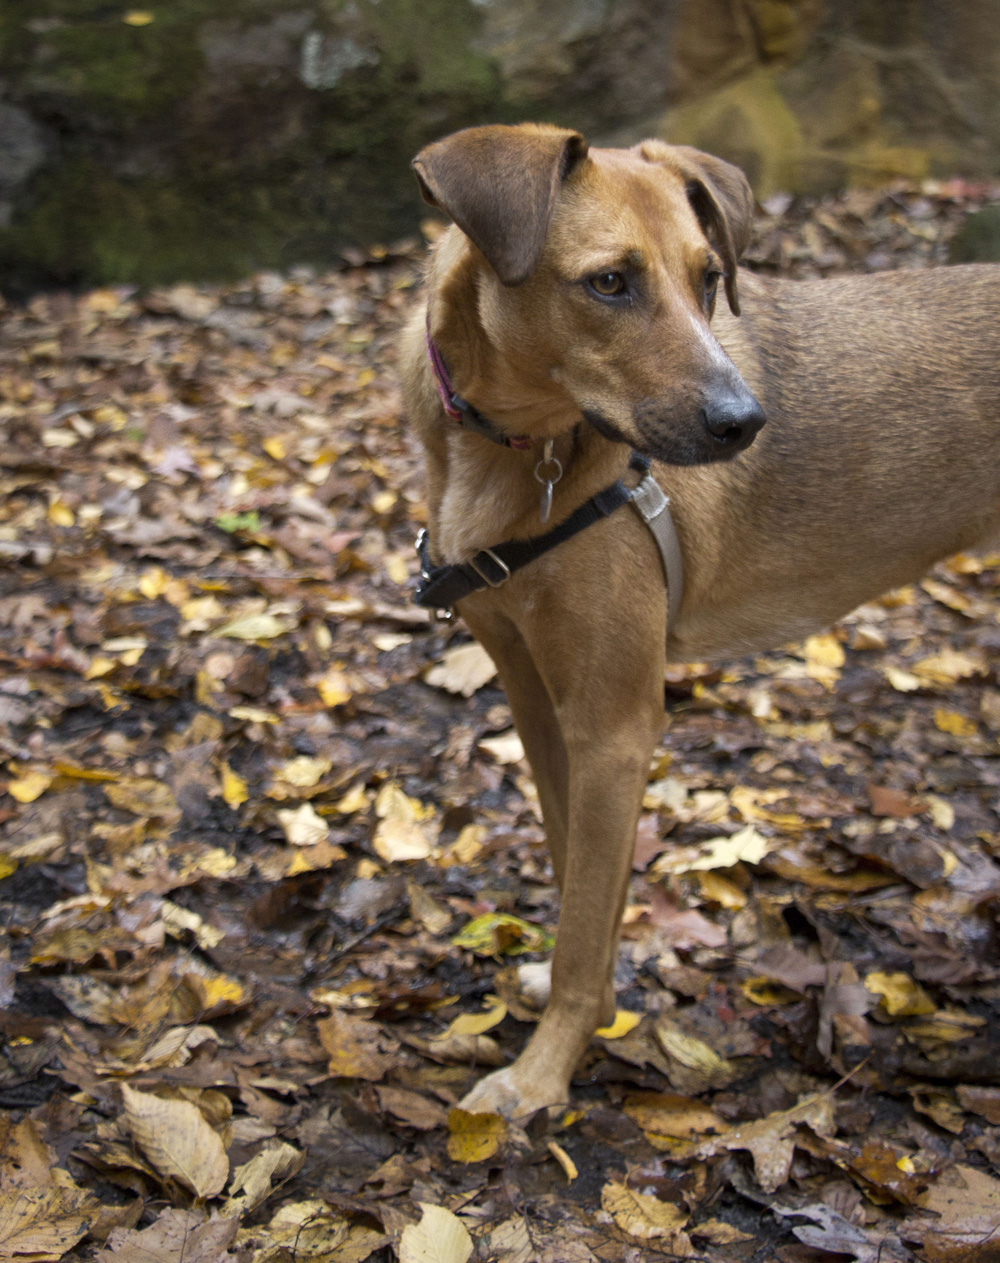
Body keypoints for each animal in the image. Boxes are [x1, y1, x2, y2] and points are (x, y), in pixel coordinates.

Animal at [398, 123, 1000, 1121]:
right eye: (610, 282)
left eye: (709, 277)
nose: (746, 422)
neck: (518, 453)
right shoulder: (541, 703)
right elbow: (576, 877)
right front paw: (587, 1006)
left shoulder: (616, 724)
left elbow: (583, 921)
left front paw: (542, 1074)